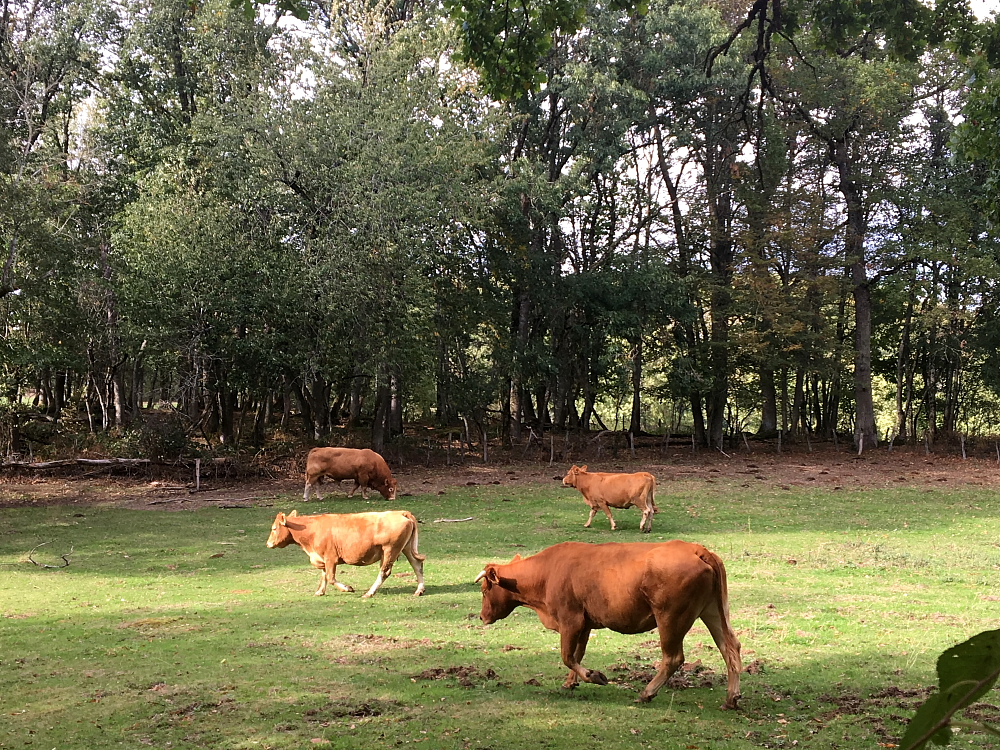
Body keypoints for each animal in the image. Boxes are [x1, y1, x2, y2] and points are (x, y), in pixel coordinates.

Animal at [264, 512, 424, 600]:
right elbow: (324, 576)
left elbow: (330, 577)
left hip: (390, 549)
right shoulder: (323, 558)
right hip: (406, 548)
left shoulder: (330, 558)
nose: (268, 543)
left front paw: (347, 588)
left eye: (274, 528)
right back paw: (419, 590)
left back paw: (369, 593)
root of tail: (400, 512)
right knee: (417, 565)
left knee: (384, 572)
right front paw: (320, 591)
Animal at [476, 540, 744, 712]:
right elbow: (577, 654)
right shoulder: (584, 624)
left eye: (484, 589)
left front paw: (593, 676)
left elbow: (567, 655)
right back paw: (731, 698)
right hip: (712, 611)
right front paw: (570, 682)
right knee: (730, 649)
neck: (548, 571)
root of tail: (698, 550)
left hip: (670, 618)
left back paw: (646, 693)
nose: (481, 617)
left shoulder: (570, 620)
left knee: (673, 658)